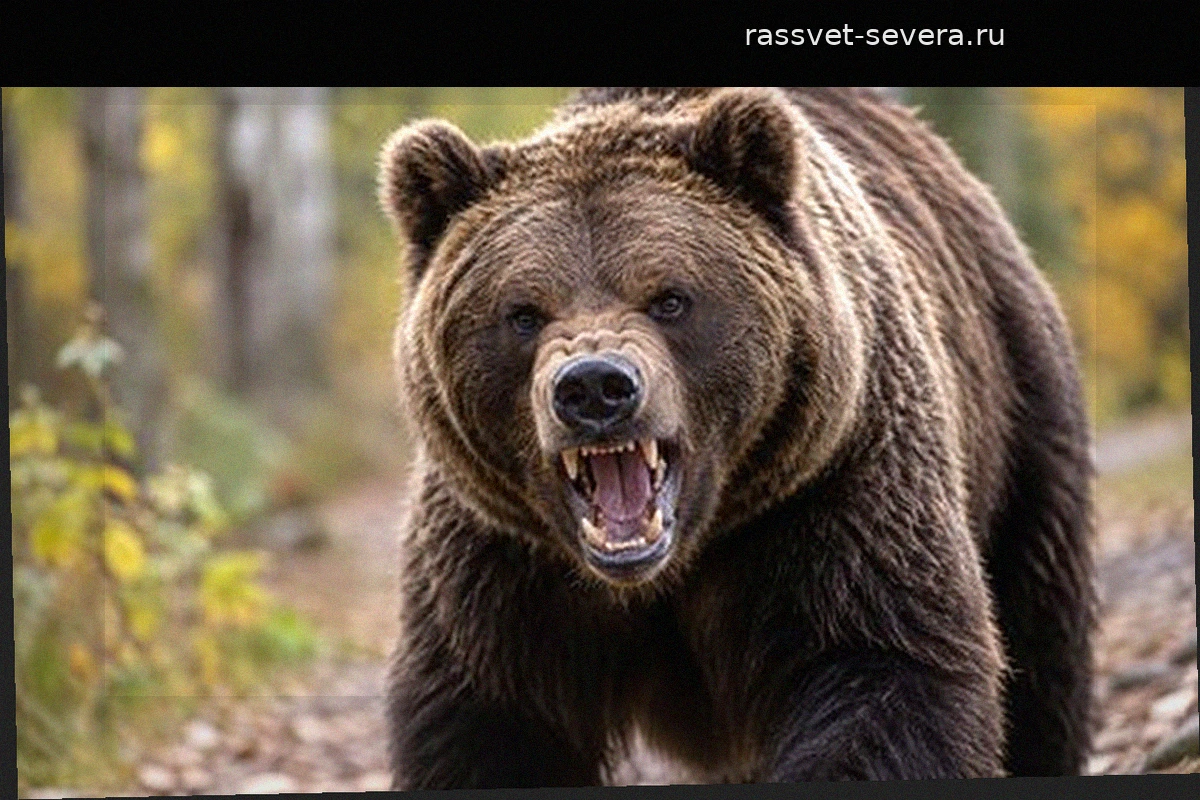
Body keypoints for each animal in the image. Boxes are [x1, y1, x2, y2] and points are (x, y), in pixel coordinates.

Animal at [376, 87, 1094, 787]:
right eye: (523, 312)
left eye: (669, 298)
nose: (594, 388)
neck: (674, 562)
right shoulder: (500, 564)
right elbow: (490, 724)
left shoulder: (834, 488)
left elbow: (886, 670)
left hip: (1019, 406)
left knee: (1039, 641)